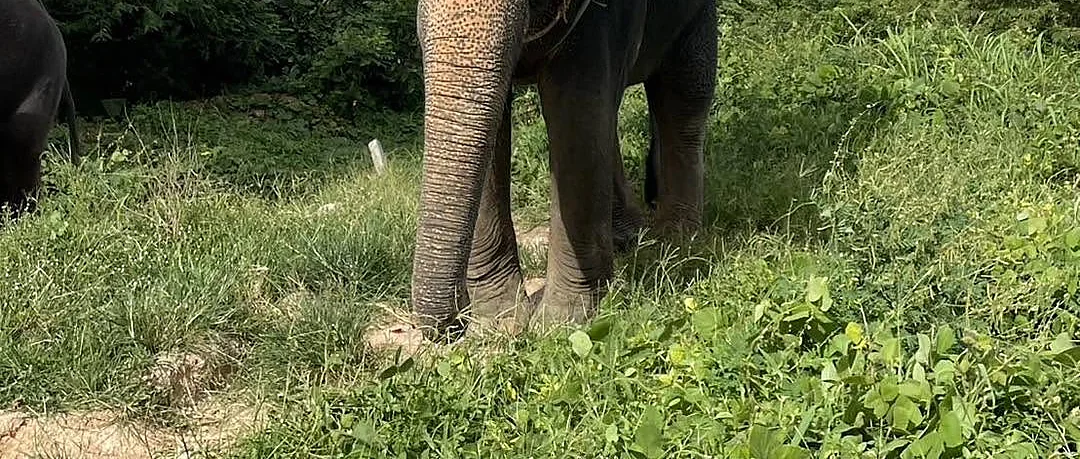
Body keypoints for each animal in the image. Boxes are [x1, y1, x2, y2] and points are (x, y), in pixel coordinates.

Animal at [410, 0, 718, 341]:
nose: (458, 322)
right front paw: (499, 323)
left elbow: (578, 107)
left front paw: (559, 324)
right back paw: (627, 239)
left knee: (685, 94)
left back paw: (677, 239)